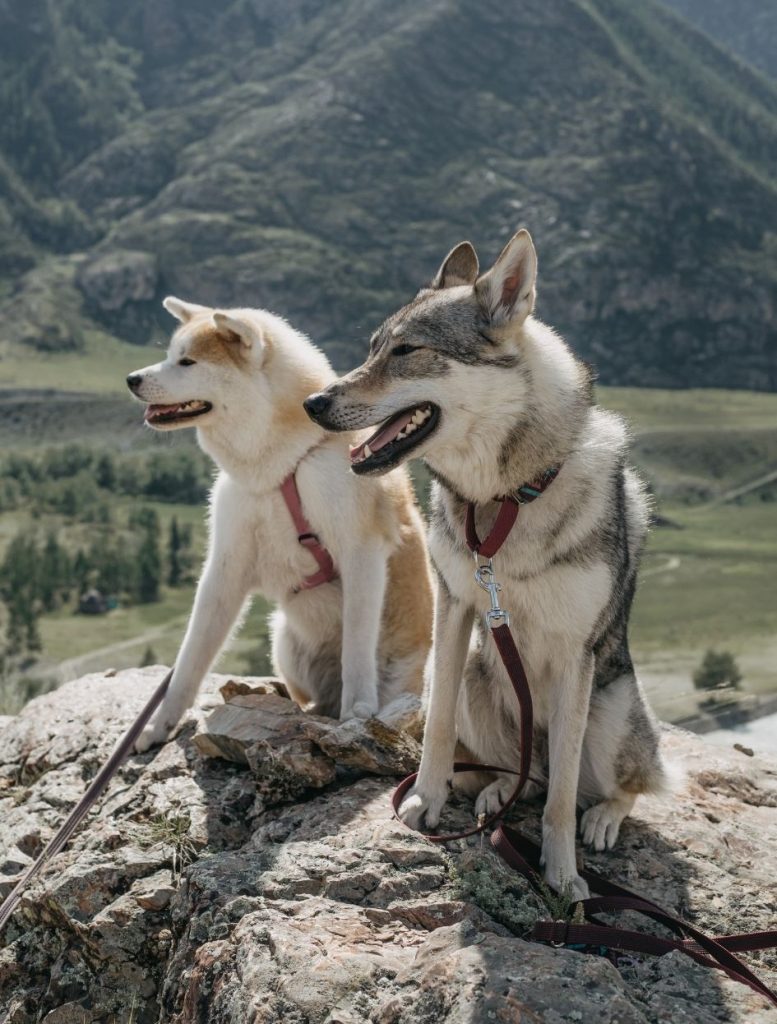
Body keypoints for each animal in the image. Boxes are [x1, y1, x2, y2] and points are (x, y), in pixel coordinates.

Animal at [124, 296, 434, 753]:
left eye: (187, 361)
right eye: (170, 356)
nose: (131, 379)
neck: (282, 466)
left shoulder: (361, 551)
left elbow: (357, 646)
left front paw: (357, 711)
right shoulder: (225, 567)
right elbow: (189, 660)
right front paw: (161, 724)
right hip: (285, 644)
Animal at [303, 230, 667, 897]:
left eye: (408, 351)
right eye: (373, 348)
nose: (313, 402)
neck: (505, 500)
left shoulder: (575, 654)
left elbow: (561, 798)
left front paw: (563, 875)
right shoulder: (457, 610)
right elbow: (438, 731)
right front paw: (423, 803)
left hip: (610, 710)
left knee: (610, 782)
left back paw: (602, 818)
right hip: (480, 671)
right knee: (520, 773)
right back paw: (497, 793)